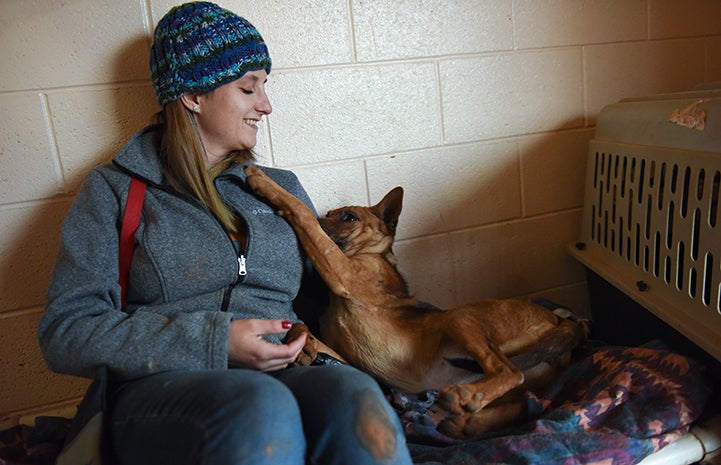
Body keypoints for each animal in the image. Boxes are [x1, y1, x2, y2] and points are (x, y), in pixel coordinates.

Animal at [246, 168, 584, 438]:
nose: (323, 218)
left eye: (349, 217)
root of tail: (562, 321)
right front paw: (303, 345)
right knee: (520, 405)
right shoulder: (349, 359)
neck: (373, 256)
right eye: (330, 214)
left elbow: (301, 213)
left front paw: (263, 182)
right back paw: (462, 421)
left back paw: (466, 397)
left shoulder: (340, 271)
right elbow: (306, 332)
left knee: (510, 372)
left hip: (459, 318)